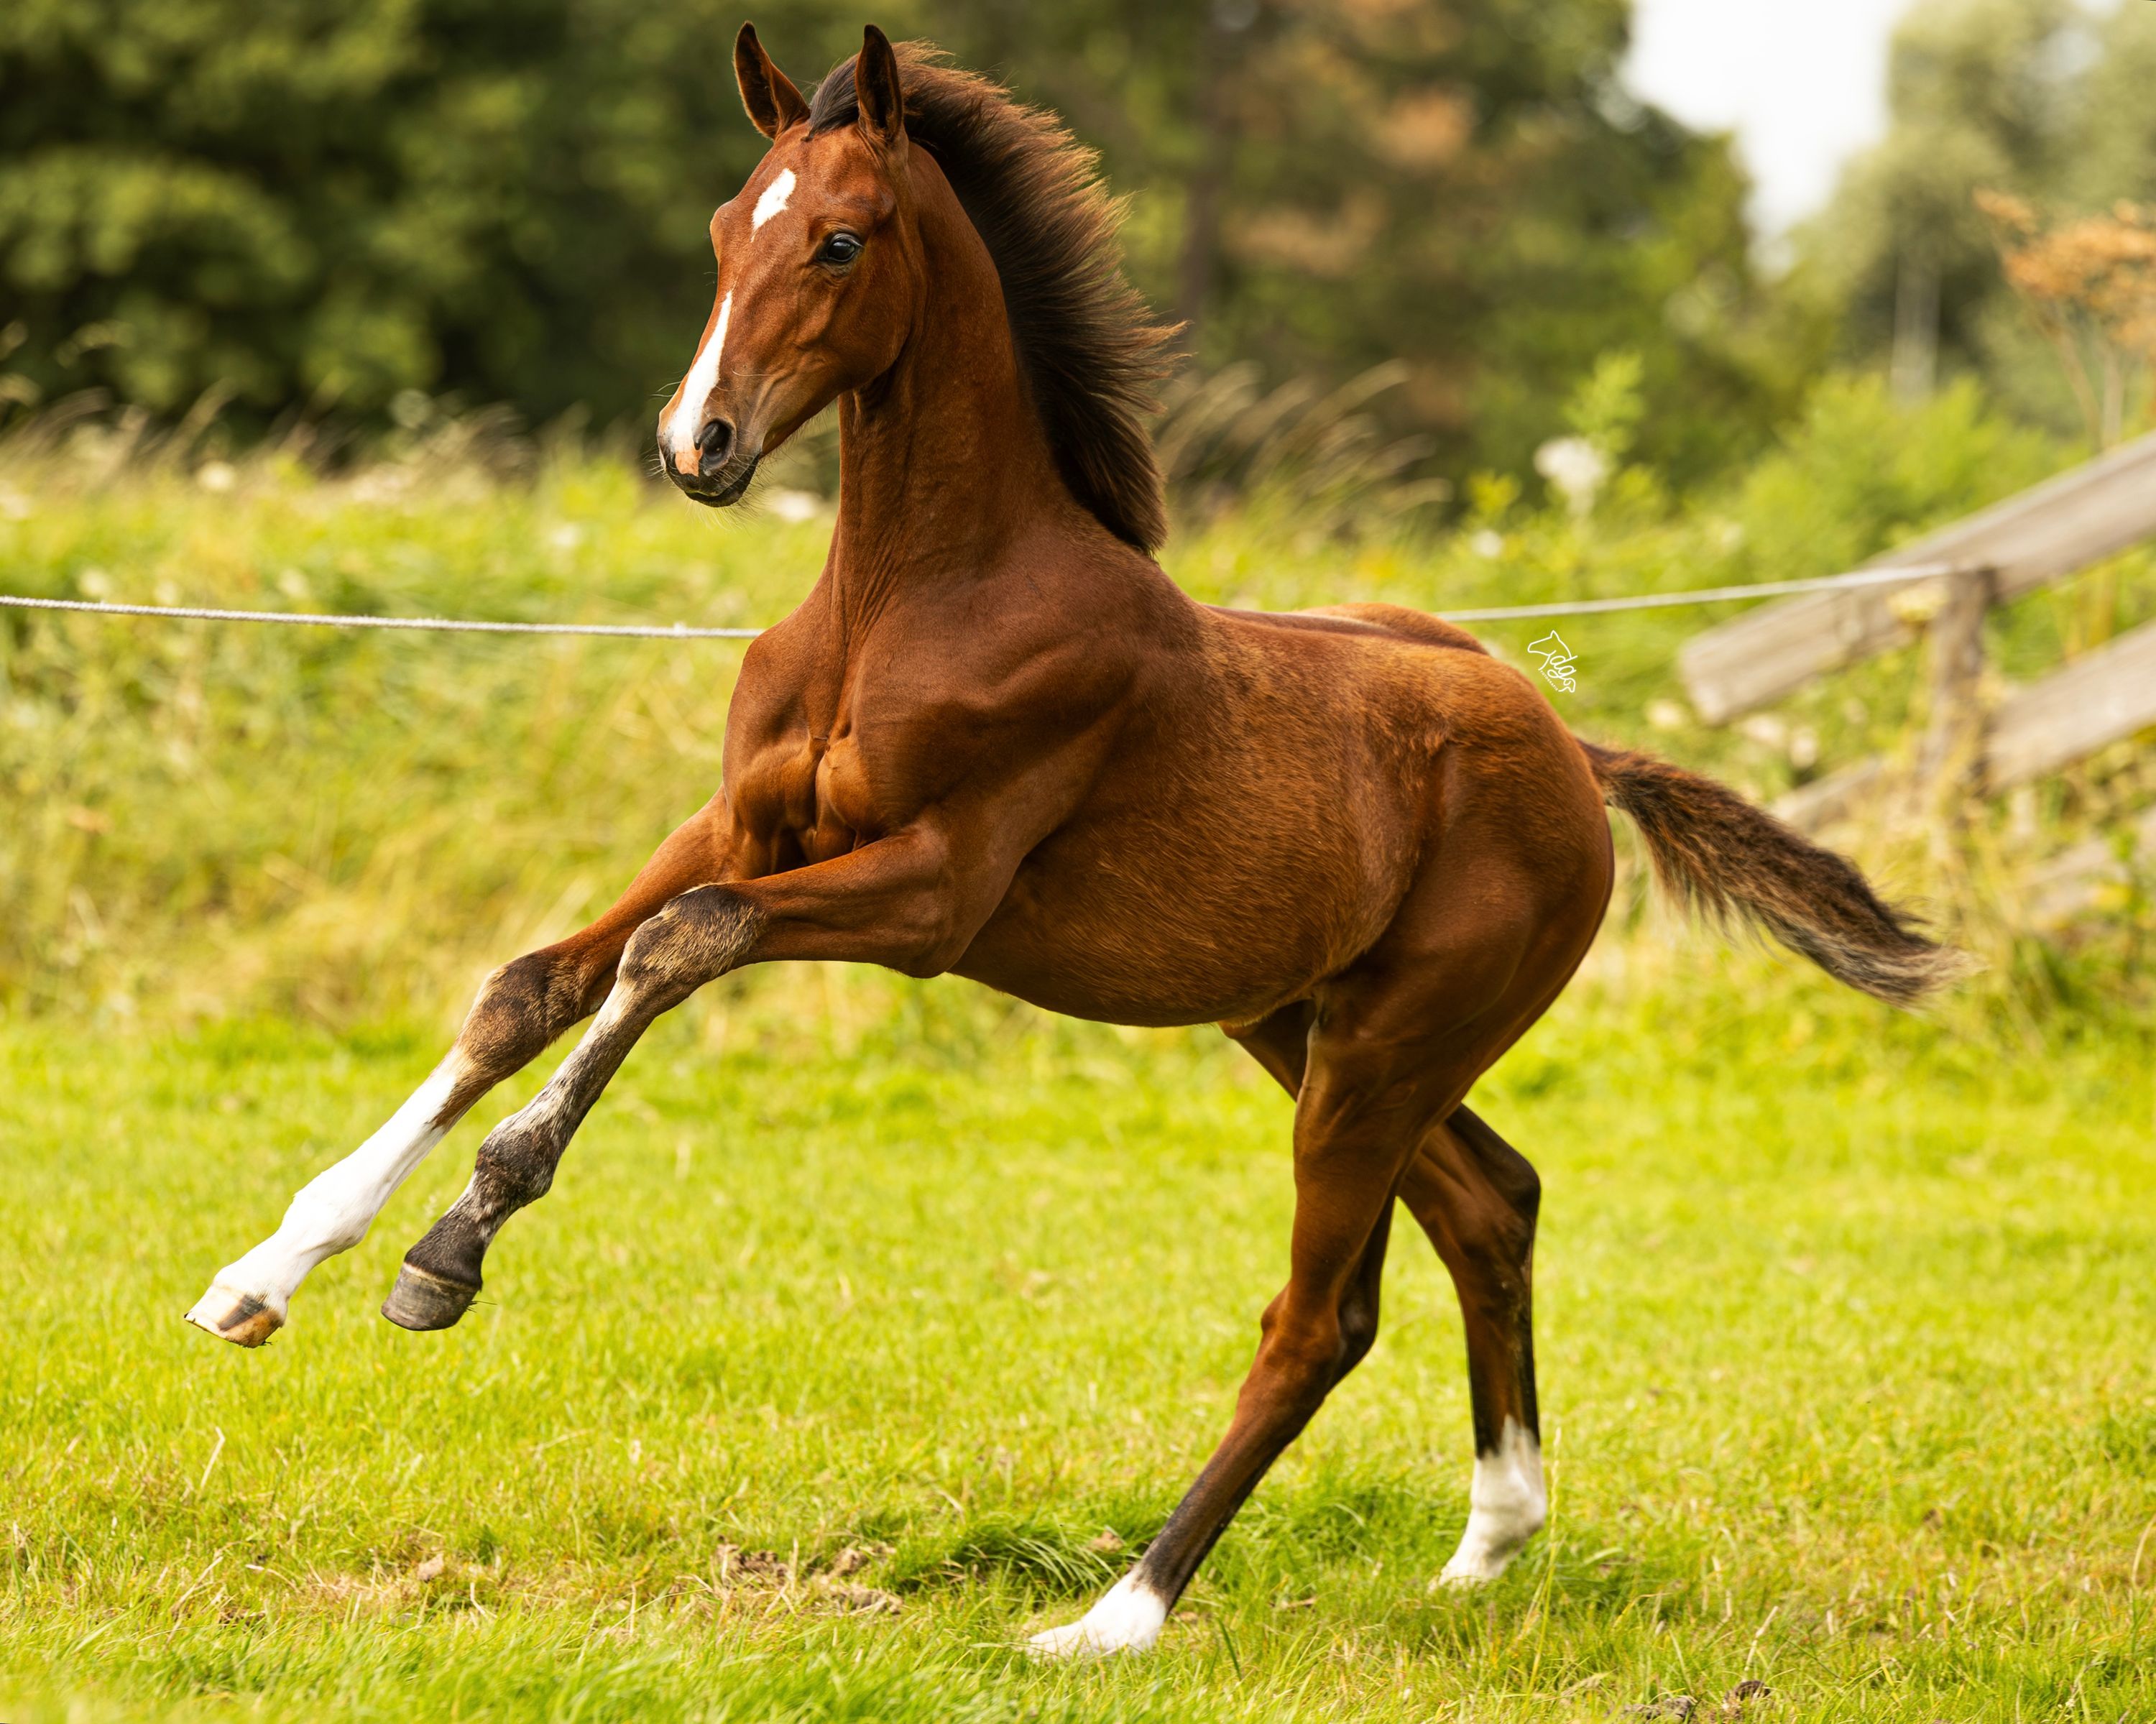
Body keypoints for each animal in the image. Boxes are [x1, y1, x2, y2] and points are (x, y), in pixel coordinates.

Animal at [186, 25, 1963, 1656]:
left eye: (841, 239)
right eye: (722, 226)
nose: (699, 446)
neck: (911, 596)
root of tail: (1572, 752)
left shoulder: (935, 894)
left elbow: (682, 939)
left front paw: (451, 1245)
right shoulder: (740, 816)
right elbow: (534, 982)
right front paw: (268, 1266)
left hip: (1384, 1046)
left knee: (1323, 1313)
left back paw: (1118, 1612)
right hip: (1306, 1023)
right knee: (1491, 1199)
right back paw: (1488, 1540)